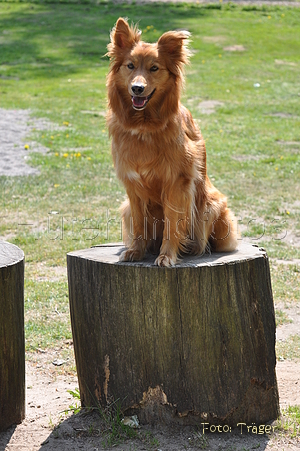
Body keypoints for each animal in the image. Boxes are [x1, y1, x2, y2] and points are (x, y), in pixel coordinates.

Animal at [106, 18, 238, 264]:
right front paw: (136, 251)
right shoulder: (132, 186)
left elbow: (172, 224)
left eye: (154, 68)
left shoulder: (177, 182)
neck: (145, 126)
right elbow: (139, 223)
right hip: (125, 208)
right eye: (130, 66)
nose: (137, 88)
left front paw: (167, 256)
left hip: (211, 207)